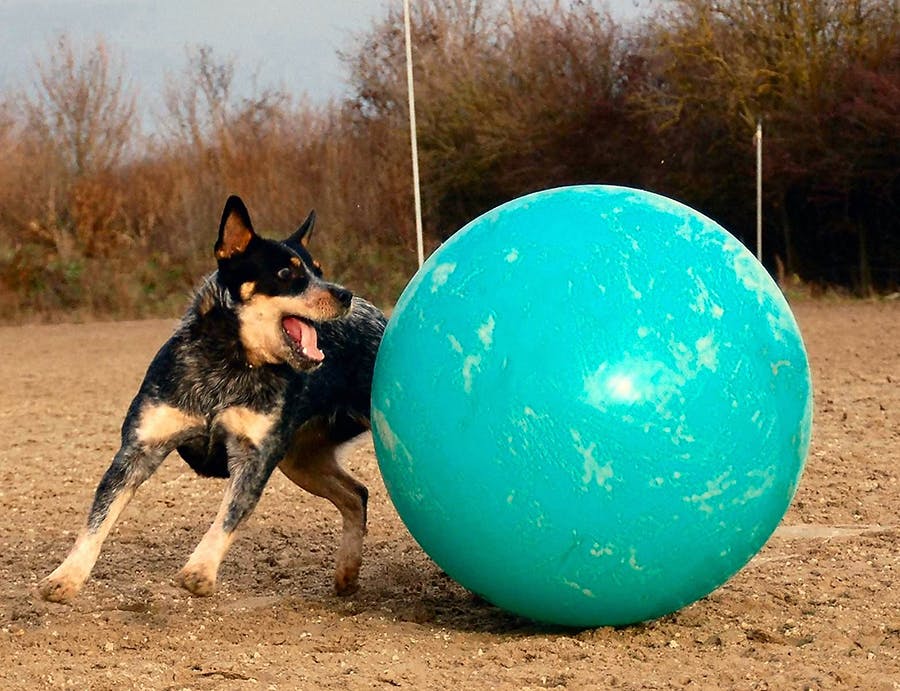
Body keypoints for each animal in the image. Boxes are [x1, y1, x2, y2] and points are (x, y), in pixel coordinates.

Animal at [39, 193, 386, 600]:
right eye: (286, 274)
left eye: (318, 270)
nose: (344, 293)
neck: (229, 363)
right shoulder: (138, 449)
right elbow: (98, 518)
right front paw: (67, 575)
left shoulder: (254, 457)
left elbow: (229, 516)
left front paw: (200, 570)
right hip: (301, 460)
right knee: (356, 494)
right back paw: (346, 572)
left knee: (358, 493)